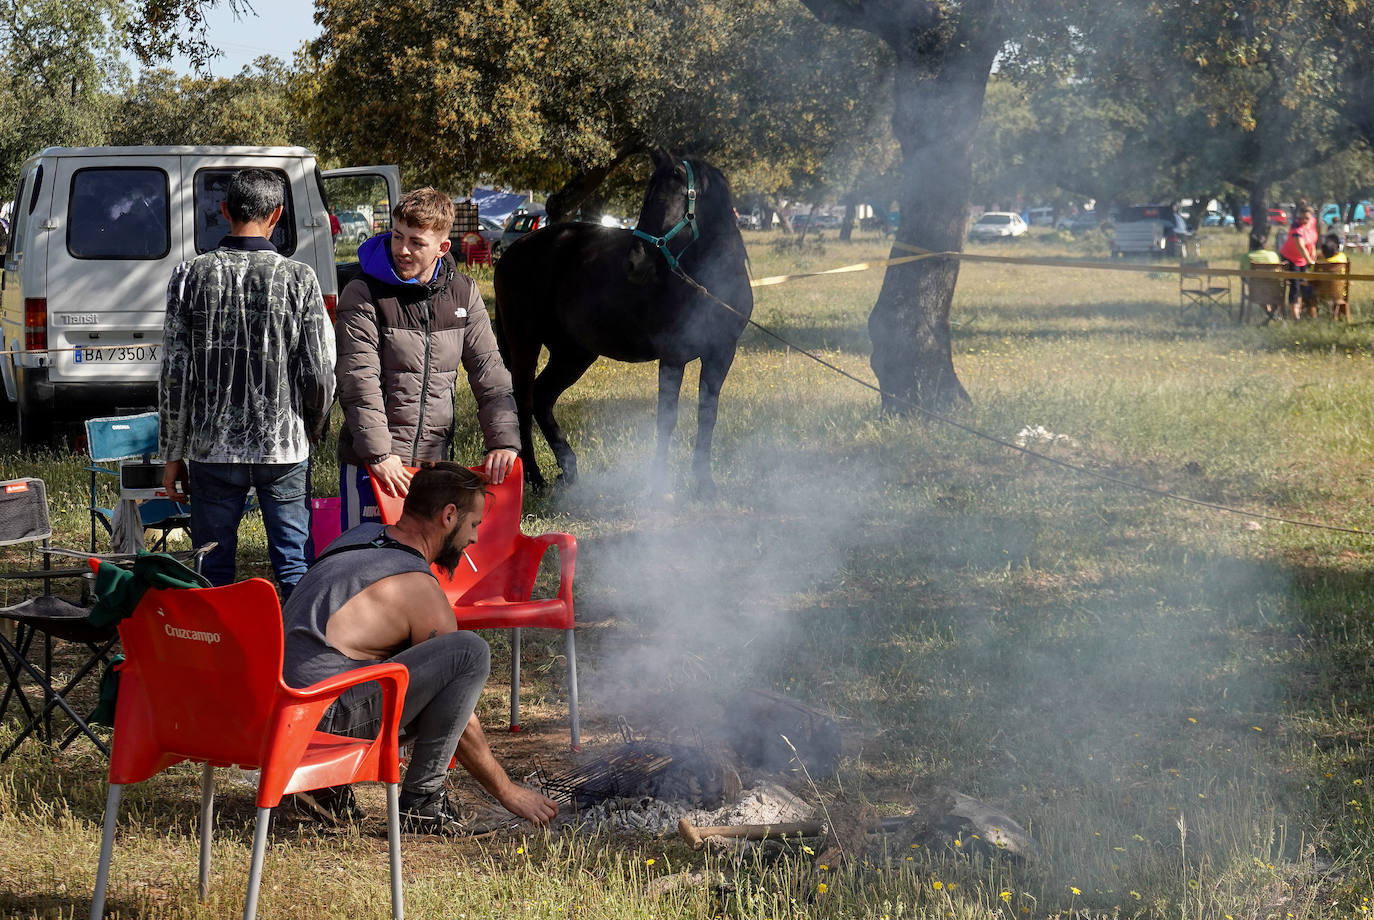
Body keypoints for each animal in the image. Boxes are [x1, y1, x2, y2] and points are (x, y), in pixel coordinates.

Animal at [491, 151, 752, 497]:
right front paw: (658, 486)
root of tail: (512, 252)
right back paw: (535, 477)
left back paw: (569, 469)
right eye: (647, 199)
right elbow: (666, 417)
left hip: (573, 354)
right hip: (526, 343)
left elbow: (707, 414)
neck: (710, 284)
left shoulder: (721, 355)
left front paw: (704, 482)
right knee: (524, 401)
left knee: (543, 396)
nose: (634, 263)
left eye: (667, 200)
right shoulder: (673, 356)